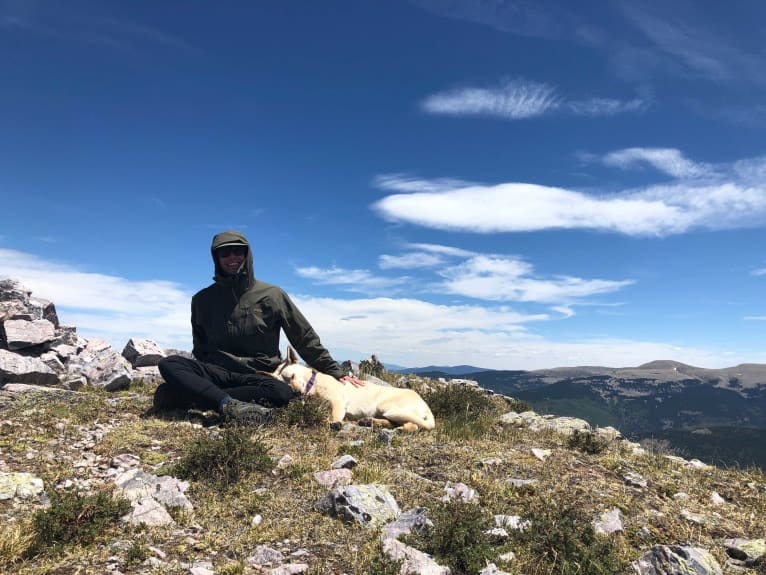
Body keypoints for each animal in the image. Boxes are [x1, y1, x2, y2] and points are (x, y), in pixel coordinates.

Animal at [272, 346, 436, 432]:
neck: (314, 386)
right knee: (395, 422)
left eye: (292, 376)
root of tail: (425, 406)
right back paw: (370, 422)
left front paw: (334, 423)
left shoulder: (338, 401)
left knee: (414, 425)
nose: (296, 393)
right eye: (285, 383)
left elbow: (333, 416)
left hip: (387, 406)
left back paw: (400, 428)